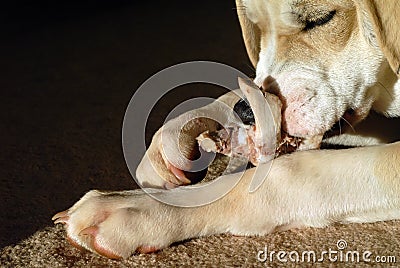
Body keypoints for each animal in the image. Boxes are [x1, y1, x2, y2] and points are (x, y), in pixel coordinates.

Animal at [54, 0, 400, 260]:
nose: (247, 114)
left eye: (321, 18)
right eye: (257, 28)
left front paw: (142, 206)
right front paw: (175, 136)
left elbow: (287, 173)